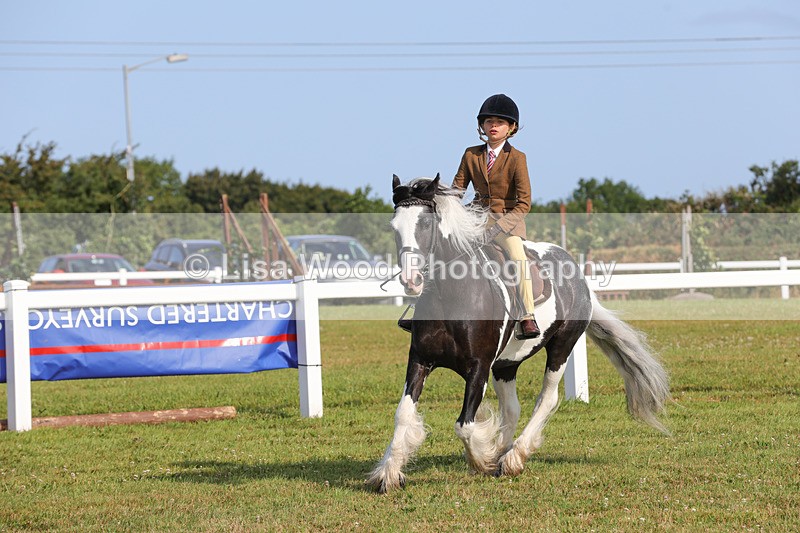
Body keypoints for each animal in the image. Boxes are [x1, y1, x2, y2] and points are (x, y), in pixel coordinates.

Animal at [367, 175, 670, 493]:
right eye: (394, 226)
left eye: (426, 224)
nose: (411, 281)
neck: (451, 297)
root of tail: (578, 276)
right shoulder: (420, 360)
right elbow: (403, 414)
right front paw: (389, 472)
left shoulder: (478, 368)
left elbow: (465, 426)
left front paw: (483, 461)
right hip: (506, 364)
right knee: (512, 408)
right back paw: (505, 452)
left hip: (561, 347)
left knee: (547, 399)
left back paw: (514, 457)